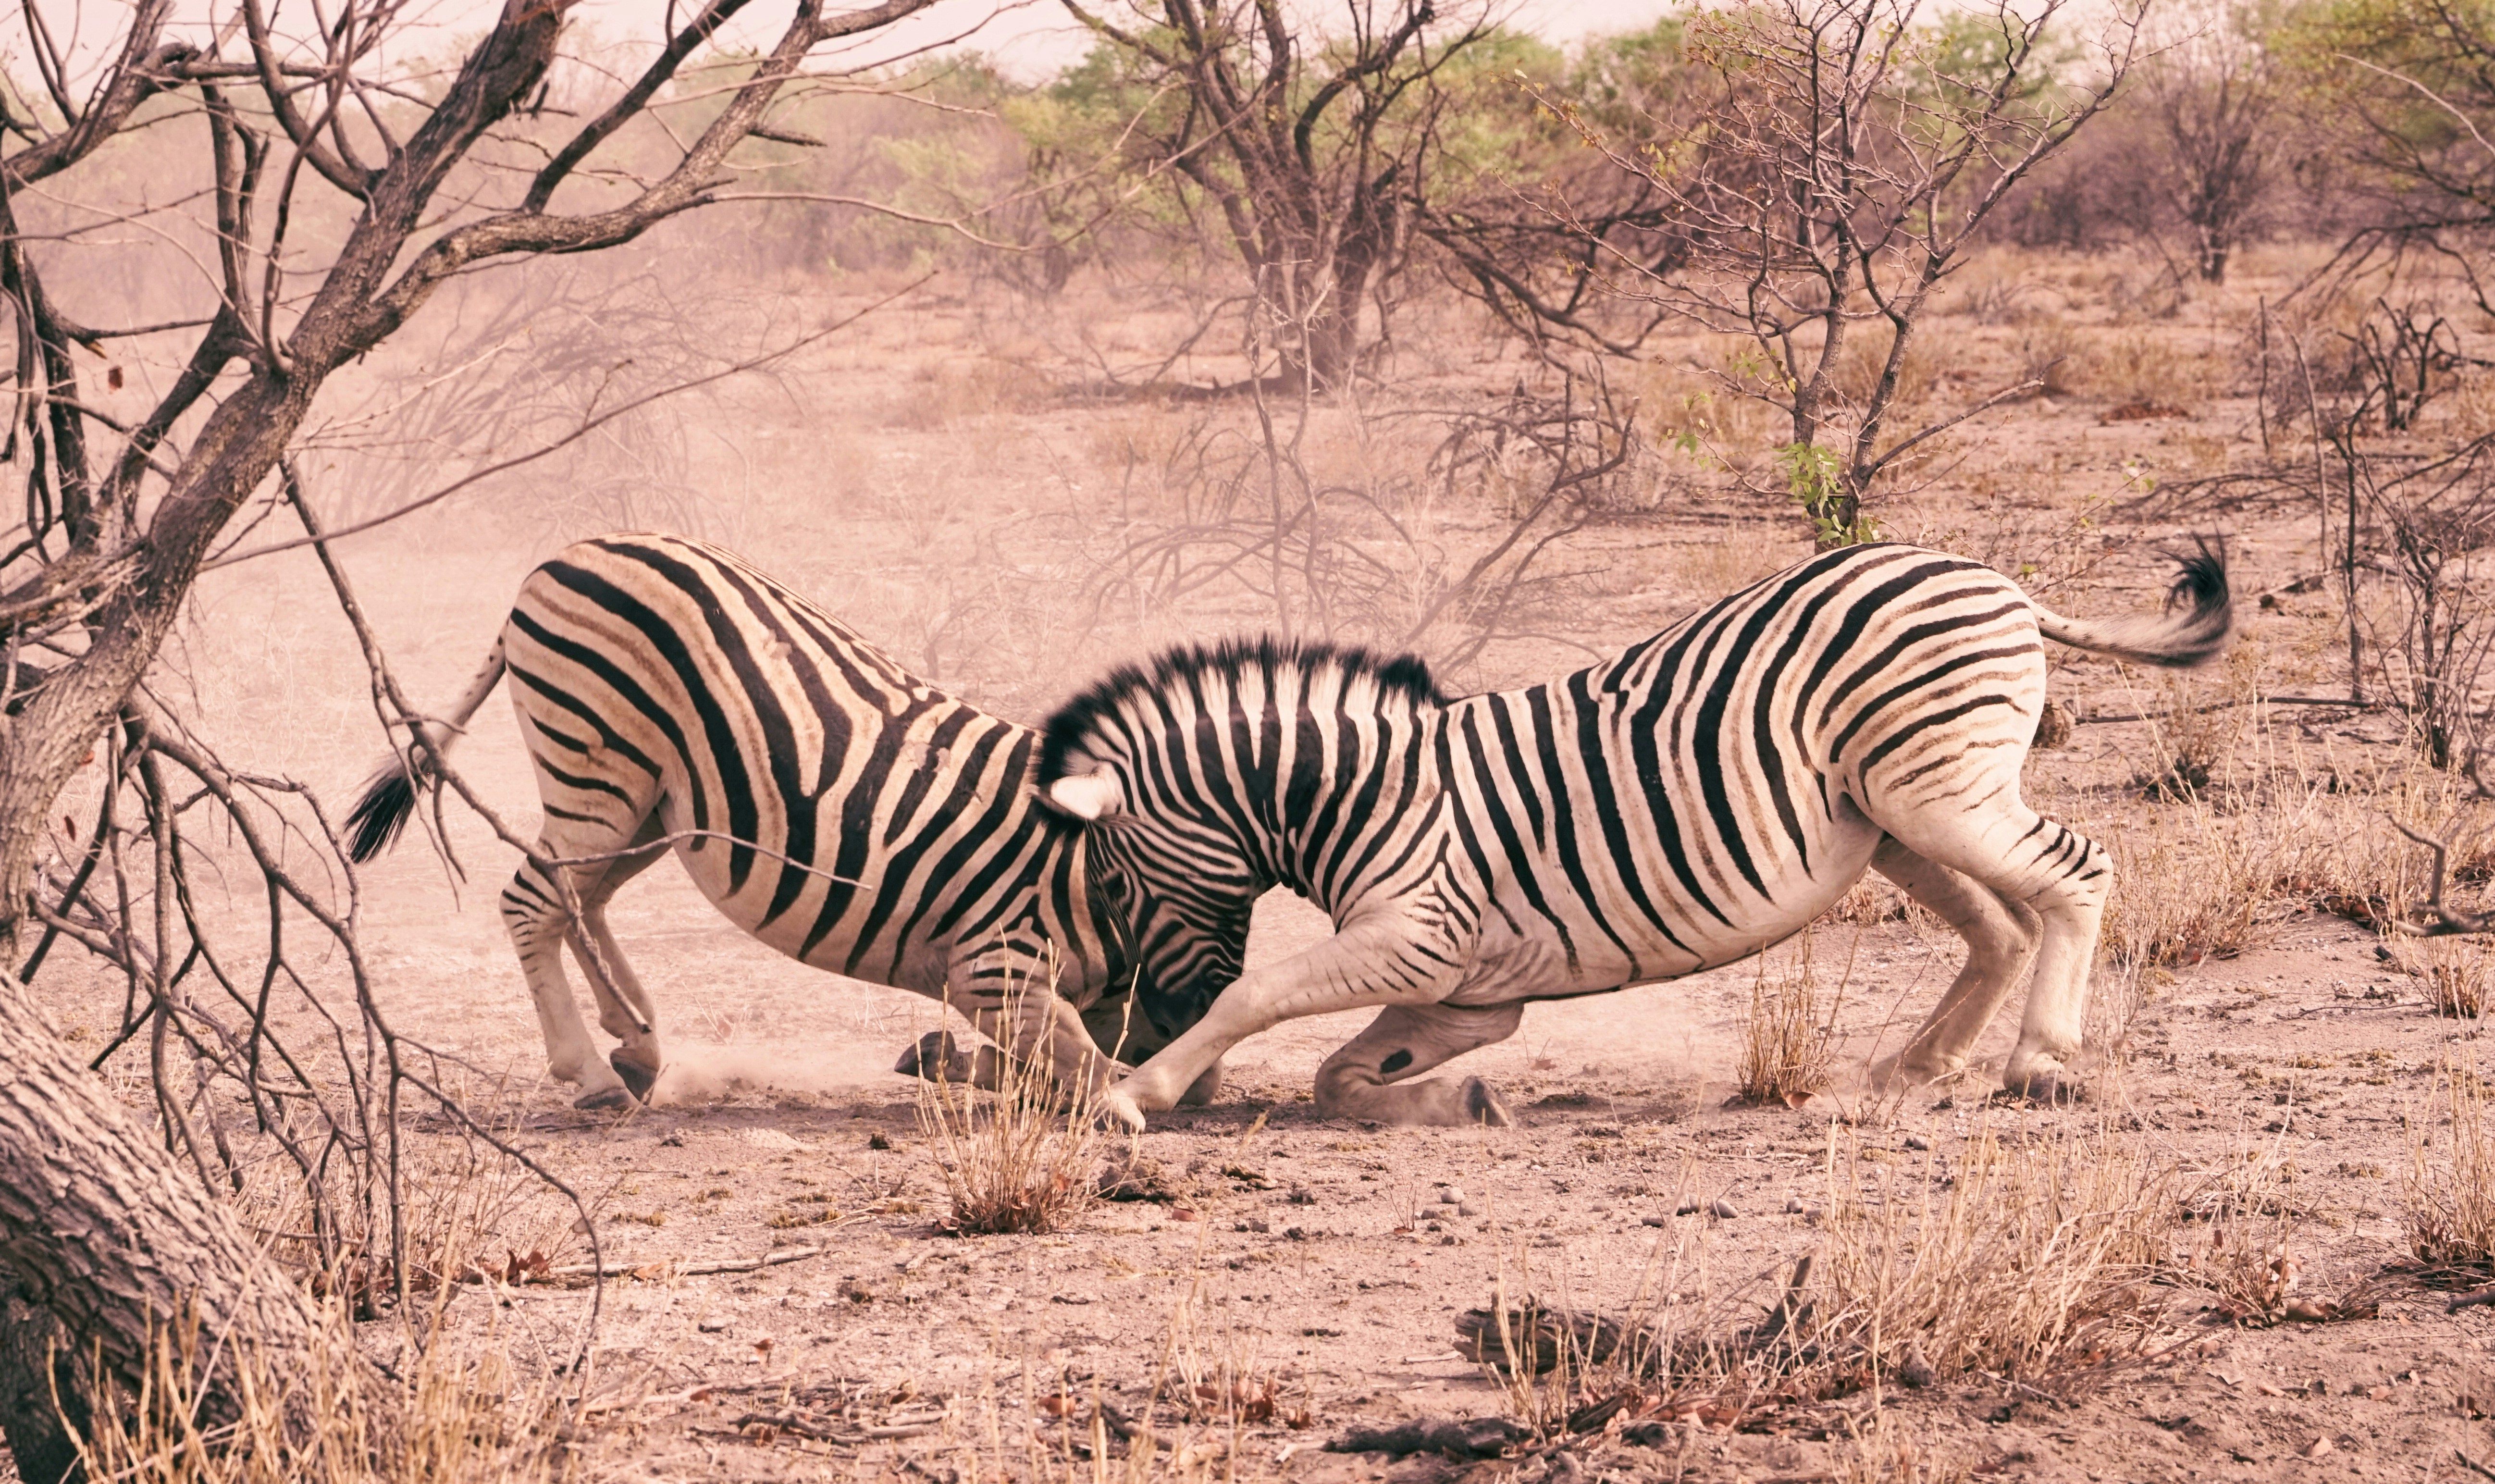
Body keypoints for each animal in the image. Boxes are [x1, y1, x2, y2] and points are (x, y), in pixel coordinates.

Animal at [344, 532, 1243, 1109]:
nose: (1205, 994)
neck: (1090, 868)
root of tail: (567, 555)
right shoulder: (998, 962)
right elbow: (1086, 1063)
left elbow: (1112, 1058)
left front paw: (953, 1062)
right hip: (601, 765)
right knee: (535, 901)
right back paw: (591, 1073)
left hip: (647, 802)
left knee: (579, 899)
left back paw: (636, 1037)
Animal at [1035, 542, 2232, 1128]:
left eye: (1116, 887)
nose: (1133, 1035)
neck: (1364, 795)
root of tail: (2000, 583)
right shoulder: (1467, 990)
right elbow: (1340, 1076)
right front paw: (1451, 1101)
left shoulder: (1416, 937)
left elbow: (1255, 995)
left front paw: (1132, 1097)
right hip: (1891, 813)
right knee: (1999, 925)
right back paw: (1915, 1062)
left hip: (1938, 789)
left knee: (2075, 874)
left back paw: (2040, 1061)